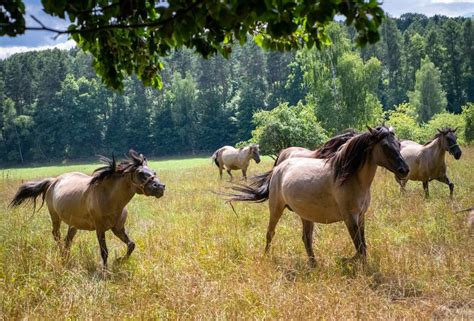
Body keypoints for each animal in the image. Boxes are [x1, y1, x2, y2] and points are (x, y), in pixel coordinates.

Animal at [8, 149, 167, 266]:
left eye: (154, 172)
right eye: (140, 173)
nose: (160, 187)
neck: (110, 198)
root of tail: (53, 181)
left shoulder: (118, 228)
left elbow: (131, 245)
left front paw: (119, 260)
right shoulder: (100, 229)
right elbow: (104, 252)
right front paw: (105, 272)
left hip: (74, 224)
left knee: (68, 239)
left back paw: (66, 258)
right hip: (55, 216)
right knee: (56, 235)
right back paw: (62, 256)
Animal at [226, 126, 408, 266]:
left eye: (399, 144)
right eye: (385, 146)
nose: (404, 170)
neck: (350, 177)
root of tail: (279, 167)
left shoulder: (361, 216)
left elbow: (363, 246)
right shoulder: (350, 217)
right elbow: (360, 248)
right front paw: (345, 261)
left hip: (306, 215)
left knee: (306, 238)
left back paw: (314, 264)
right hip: (276, 208)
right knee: (270, 233)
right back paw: (266, 257)